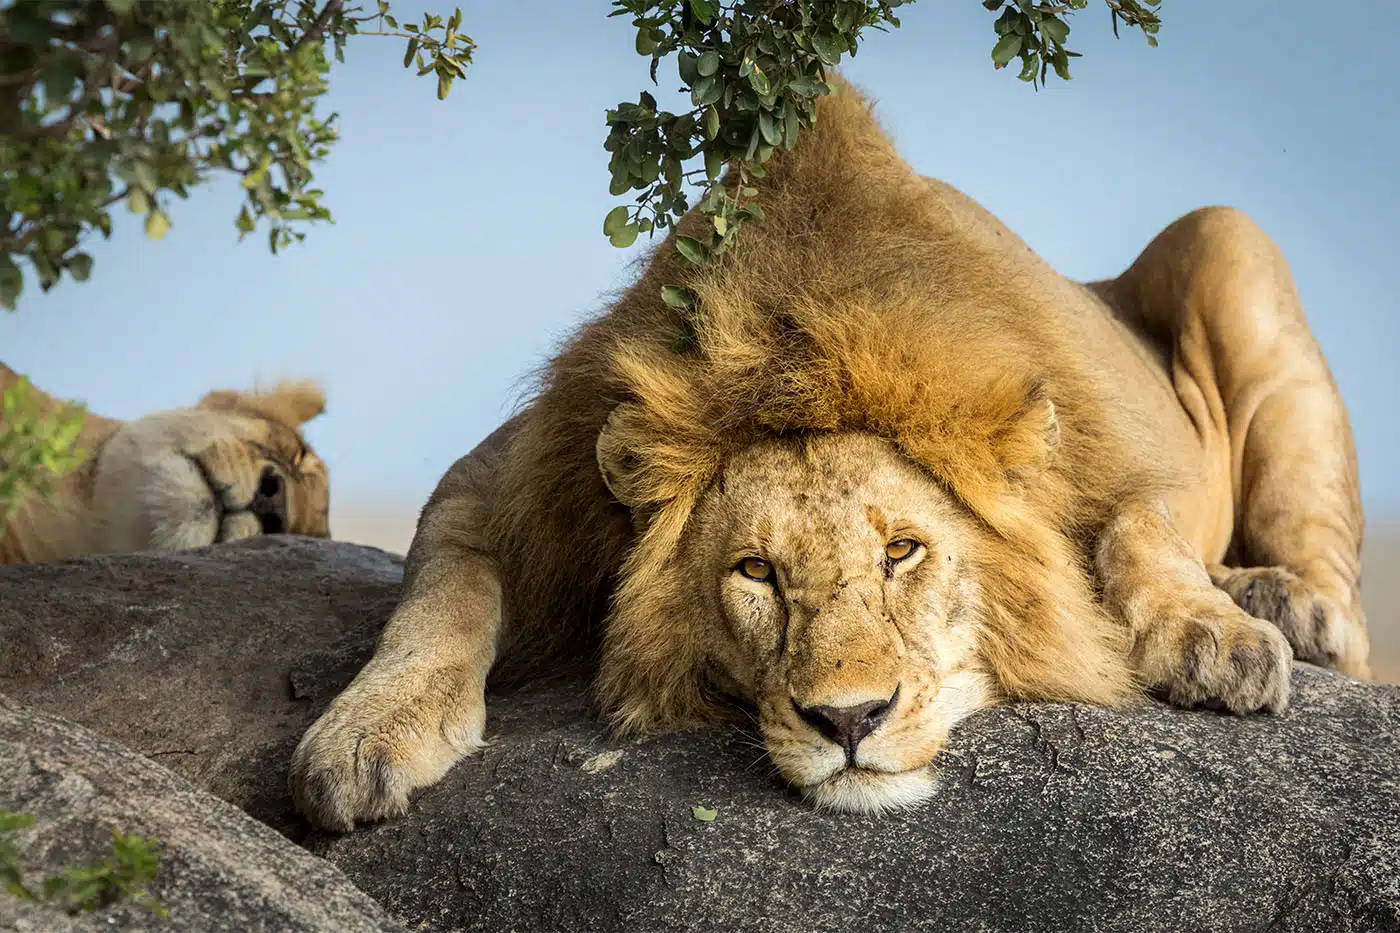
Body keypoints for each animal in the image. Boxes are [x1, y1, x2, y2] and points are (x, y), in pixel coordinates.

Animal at [290, 77, 1369, 829]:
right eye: (755, 572)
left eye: (902, 552)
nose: (848, 722)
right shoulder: (505, 482)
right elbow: (440, 596)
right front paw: (363, 734)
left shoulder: (1103, 448)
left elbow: (1139, 525)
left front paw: (1210, 634)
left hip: (1229, 238)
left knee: (1340, 596)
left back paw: (1285, 606)